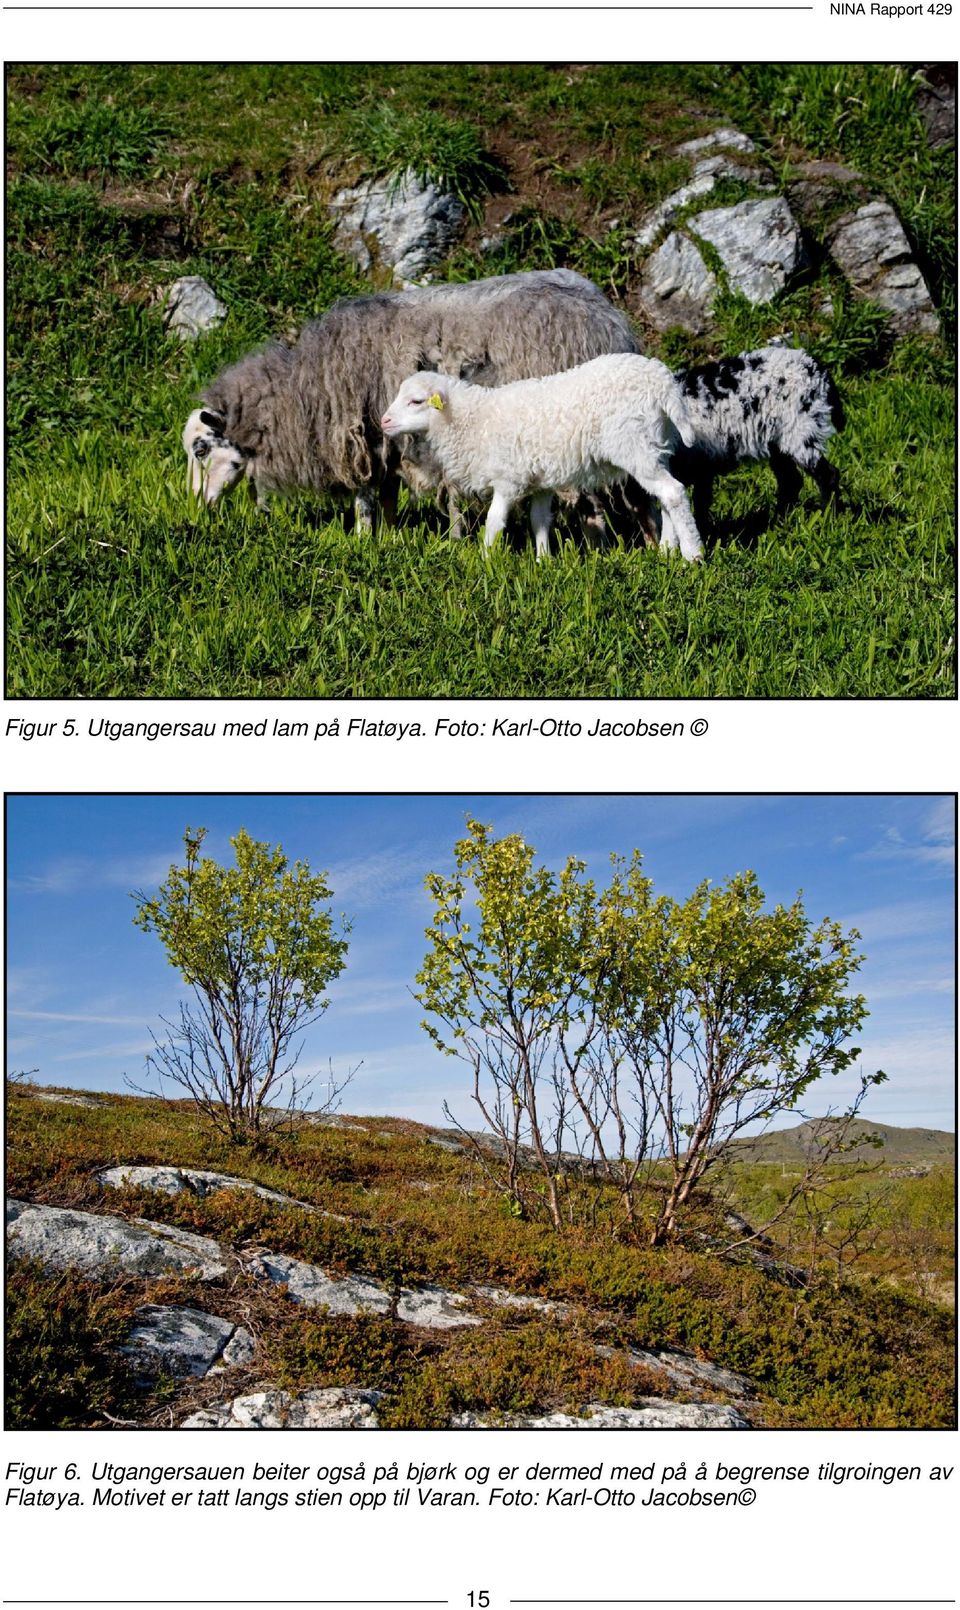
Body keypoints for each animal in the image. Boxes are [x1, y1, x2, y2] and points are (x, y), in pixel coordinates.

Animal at [183, 270, 641, 531]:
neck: (300, 391)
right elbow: (386, 496)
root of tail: (610, 321)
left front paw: (365, 540)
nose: (197, 506)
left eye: (201, 449)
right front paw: (389, 540)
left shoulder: (360, 439)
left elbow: (365, 499)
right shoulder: (386, 442)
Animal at [381, 352, 705, 560]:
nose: (384, 421)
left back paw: (692, 555)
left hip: (634, 446)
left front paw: (485, 561)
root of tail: (662, 381)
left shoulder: (508, 479)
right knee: (666, 495)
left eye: (416, 401)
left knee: (673, 492)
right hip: (656, 446)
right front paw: (542, 561)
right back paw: (667, 550)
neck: (473, 420)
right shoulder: (540, 480)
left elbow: (494, 521)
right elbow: (539, 520)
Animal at [663, 342, 844, 550]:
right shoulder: (702, 467)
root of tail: (818, 370)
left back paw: (827, 520)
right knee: (790, 481)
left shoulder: (699, 467)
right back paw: (779, 523)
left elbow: (697, 505)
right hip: (779, 441)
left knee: (827, 475)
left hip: (801, 431)